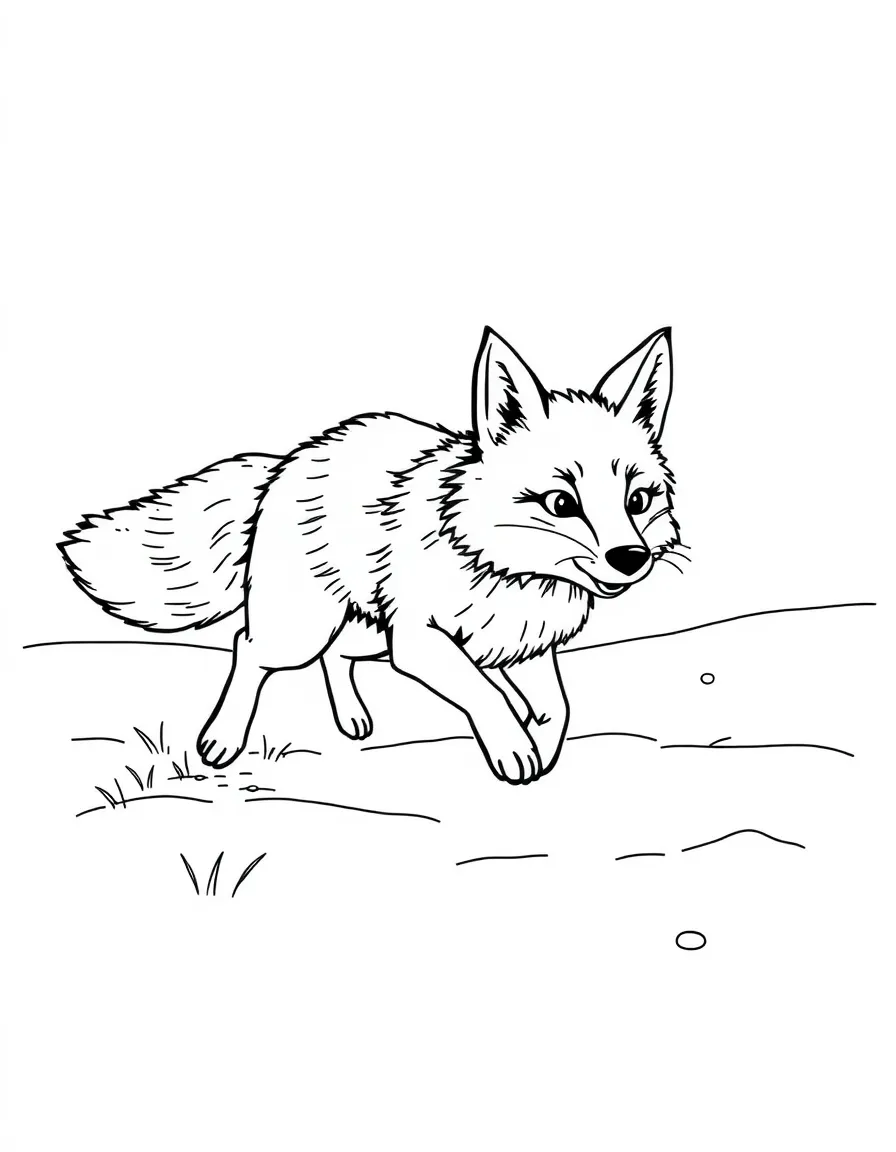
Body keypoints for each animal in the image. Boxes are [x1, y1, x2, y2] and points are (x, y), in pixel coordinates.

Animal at [60, 327, 681, 784]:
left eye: (638, 500)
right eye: (561, 503)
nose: (631, 558)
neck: (506, 571)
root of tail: (286, 461)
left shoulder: (525, 645)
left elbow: (557, 709)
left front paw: (539, 745)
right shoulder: (418, 639)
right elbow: (482, 691)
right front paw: (513, 746)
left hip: (364, 632)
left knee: (335, 658)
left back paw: (354, 719)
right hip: (305, 630)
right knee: (247, 645)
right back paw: (221, 739)